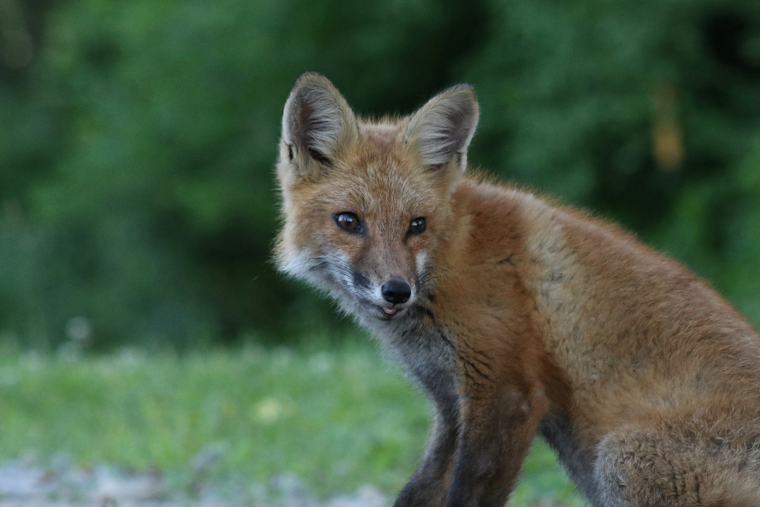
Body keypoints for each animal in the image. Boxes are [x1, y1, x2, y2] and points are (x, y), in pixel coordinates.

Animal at [274, 72, 760, 507]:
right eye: (348, 221)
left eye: (417, 225)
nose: (396, 291)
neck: (453, 260)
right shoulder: (452, 405)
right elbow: (418, 491)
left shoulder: (508, 395)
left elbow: (467, 496)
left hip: (620, 456)